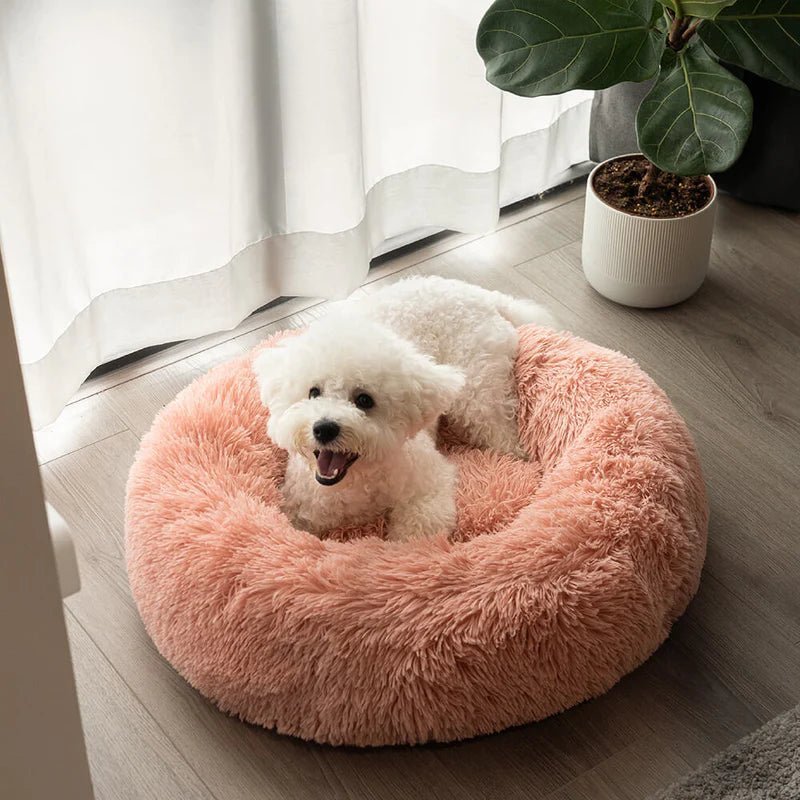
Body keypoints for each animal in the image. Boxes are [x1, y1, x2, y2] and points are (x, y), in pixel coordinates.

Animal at [253, 276, 552, 544]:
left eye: (364, 400)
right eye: (313, 392)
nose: (324, 428)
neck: (354, 483)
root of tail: (483, 295)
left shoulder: (430, 485)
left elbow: (414, 533)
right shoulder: (300, 506)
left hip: (479, 390)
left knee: (500, 430)